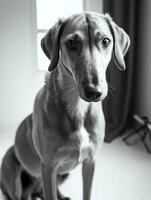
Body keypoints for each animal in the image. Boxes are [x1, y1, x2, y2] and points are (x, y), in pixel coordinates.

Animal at [0, 11, 130, 200]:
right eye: (71, 43)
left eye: (105, 41)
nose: (94, 91)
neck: (78, 107)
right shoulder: (48, 166)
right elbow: (50, 191)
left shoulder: (90, 162)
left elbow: (86, 193)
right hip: (14, 172)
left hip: (62, 174)